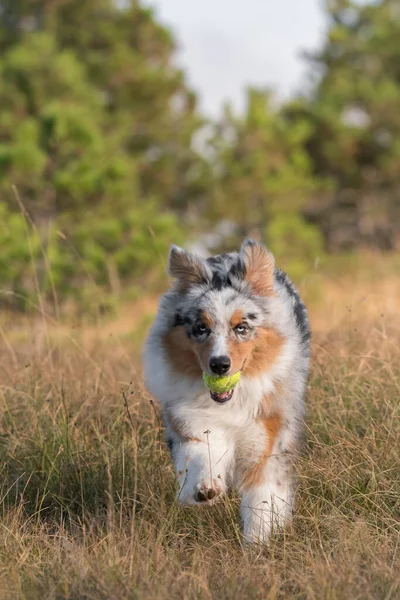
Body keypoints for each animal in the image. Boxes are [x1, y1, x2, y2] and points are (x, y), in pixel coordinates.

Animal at [142, 239, 310, 544]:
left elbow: (262, 494)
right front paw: (206, 488)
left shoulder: (269, 432)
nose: (219, 364)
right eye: (201, 327)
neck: (232, 401)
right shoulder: (192, 418)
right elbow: (203, 450)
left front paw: (257, 542)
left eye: (241, 327)